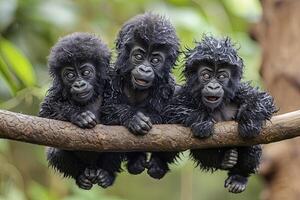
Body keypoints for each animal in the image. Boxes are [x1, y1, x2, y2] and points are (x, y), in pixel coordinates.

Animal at [39, 32, 122, 190]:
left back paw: (106, 176)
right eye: (70, 75)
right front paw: (80, 115)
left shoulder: (113, 82)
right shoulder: (56, 91)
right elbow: (45, 113)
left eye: (86, 72)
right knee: (56, 151)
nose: (79, 84)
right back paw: (82, 177)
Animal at [102, 13, 179, 179]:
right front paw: (133, 118)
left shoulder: (170, 88)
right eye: (138, 56)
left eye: (155, 60)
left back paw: (157, 164)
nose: (144, 69)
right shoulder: (110, 78)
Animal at [165, 36, 278, 194]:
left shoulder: (239, 90)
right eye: (206, 75)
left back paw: (239, 177)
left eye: (222, 76)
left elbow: (261, 98)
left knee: (252, 147)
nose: (213, 86)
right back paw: (225, 160)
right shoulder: (181, 95)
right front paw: (202, 123)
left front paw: (249, 123)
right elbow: (172, 111)